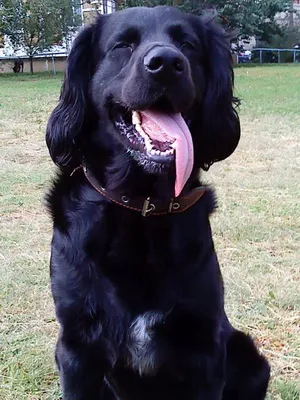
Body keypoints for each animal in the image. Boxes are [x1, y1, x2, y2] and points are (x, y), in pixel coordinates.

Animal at [45, 6, 270, 400]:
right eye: (122, 44)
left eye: (187, 44)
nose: (166, 63)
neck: (142, 205)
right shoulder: (76, 347)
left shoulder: (205, 346)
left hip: (250, 357)